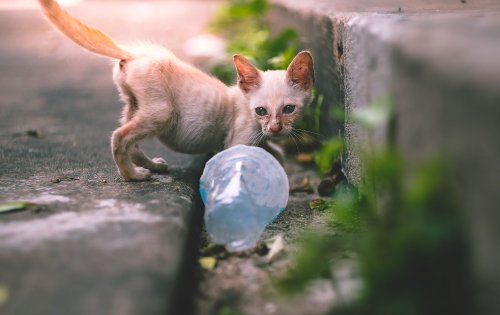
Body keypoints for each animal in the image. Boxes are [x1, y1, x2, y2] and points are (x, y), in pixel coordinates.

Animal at [39, 0, 314, 181]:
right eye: (261, 111)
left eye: (289, 109)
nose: (276, 129)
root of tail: (134, 52)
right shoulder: (238, 141)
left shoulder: (258, 141)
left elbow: (276, 154)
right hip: (162, 111)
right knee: (119, 137)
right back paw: (133, 176)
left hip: (135, 105)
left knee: (131, 141)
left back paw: (152, 166)